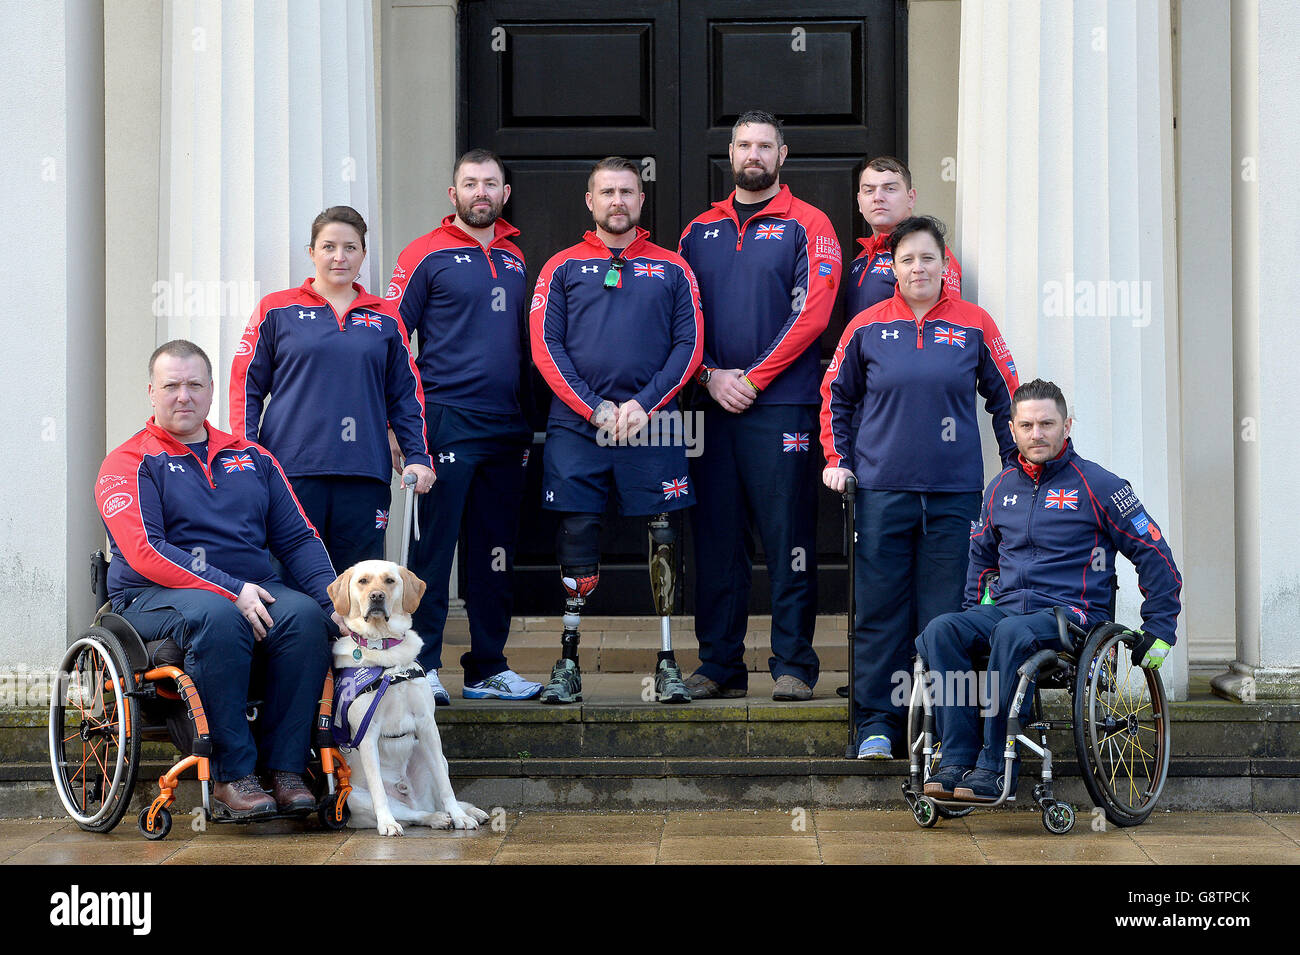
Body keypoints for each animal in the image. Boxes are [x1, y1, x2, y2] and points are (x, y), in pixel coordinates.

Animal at [325, 561, 488, 836]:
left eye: (389, 581)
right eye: (363, 581)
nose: (376, 596)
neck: (386, 655)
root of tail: (409, 794)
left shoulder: (426, 724)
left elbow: (446, 787)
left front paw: (459, 817)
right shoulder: (367, 734)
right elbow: (378, 790)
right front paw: (387, 823)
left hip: (435, 755)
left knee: (434, 799)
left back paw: (462, 812)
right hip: (352, 797)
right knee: (413, 814)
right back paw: (433, 818)